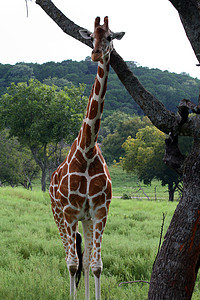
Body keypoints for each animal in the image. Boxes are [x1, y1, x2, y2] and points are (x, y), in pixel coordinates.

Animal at [49, 17, 124, 300]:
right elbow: (72, 264)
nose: (95, 53)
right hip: (58, 214)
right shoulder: (69, 211)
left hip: (87, 219)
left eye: (110, 36)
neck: (87, 150)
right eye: (91, 36)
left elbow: (96, 265)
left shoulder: (101, 210)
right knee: (69, 257)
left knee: (87, 254)